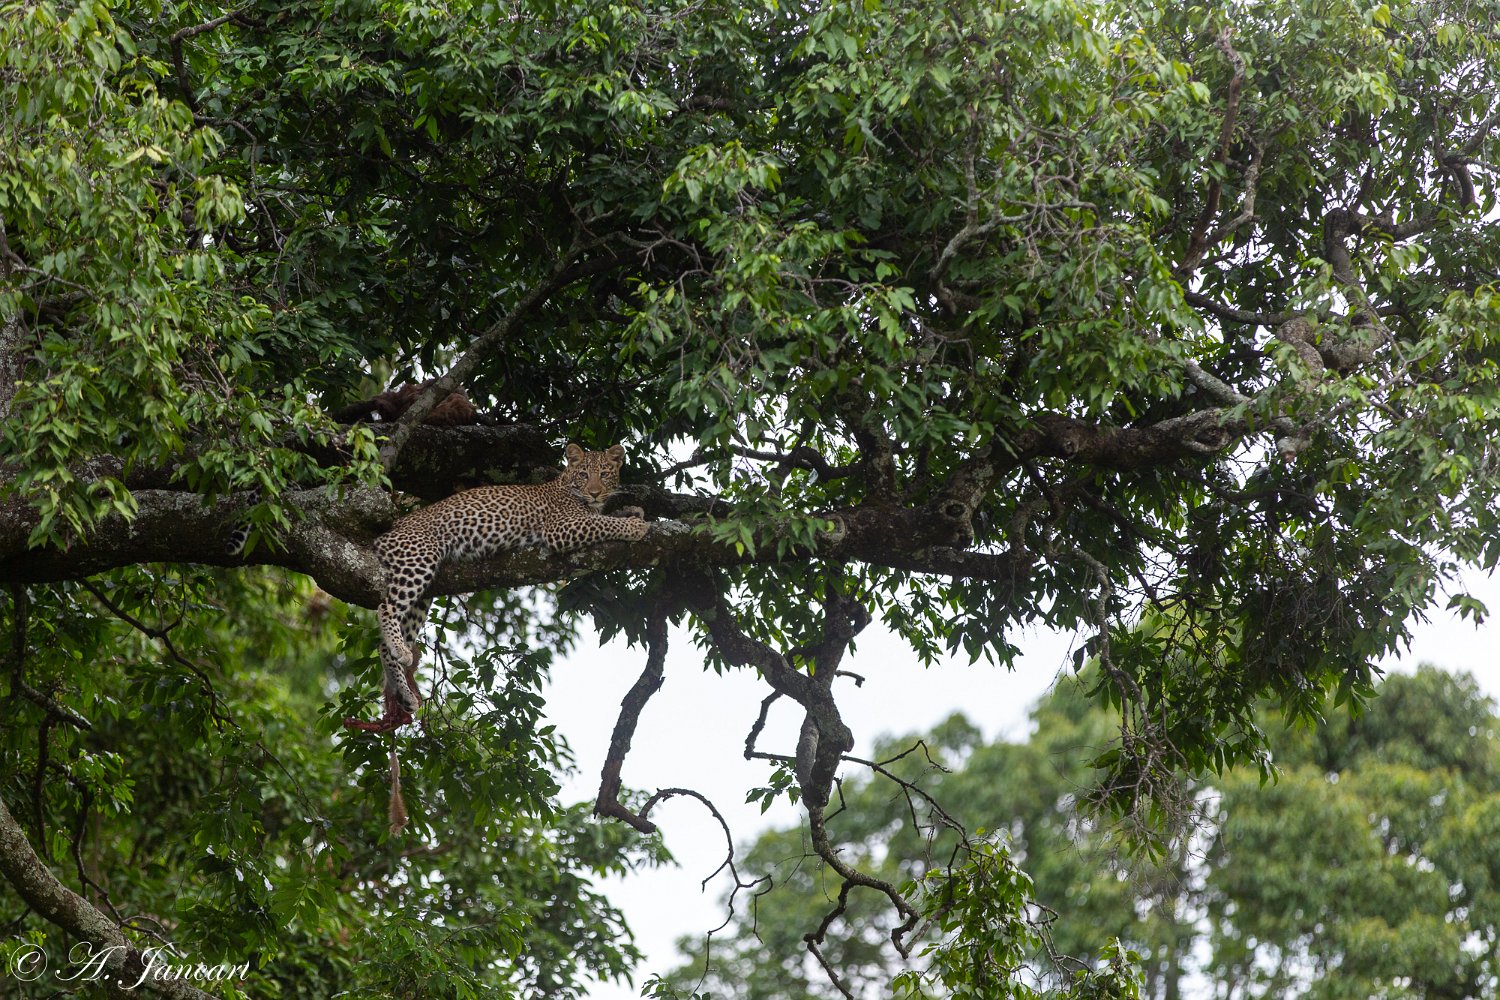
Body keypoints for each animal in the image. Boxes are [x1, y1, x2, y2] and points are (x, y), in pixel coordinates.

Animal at [346, 442, 650, 733]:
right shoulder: (562, 528)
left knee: (385, 642)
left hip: (422, 595)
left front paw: (632, 510)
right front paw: (634, 526)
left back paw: (404, 691)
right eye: (584, 474)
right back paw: (400, 653)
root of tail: (390, 529)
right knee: (385, 607)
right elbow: (602, 522)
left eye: (605, 474)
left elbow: (604, 515)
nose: (595, 492)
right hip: (419, 559)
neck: (568, 485)